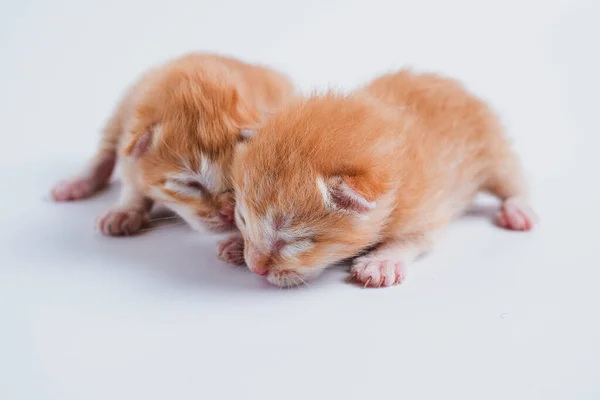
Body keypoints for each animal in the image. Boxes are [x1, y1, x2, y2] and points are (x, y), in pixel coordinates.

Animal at [51, 52, 296, 234]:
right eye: (191, 185)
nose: (228, 214)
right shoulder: (130, 129)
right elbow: (132, 177)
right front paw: (125, 211)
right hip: (121, 107)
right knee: (104, 151)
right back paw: (75, 184)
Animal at [221, 69, 540, 288]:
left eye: (296, 241)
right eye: (243, 219)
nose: (256, 269)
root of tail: (450, 83)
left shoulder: (428, 209)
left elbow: (412, 239)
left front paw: (382, 261)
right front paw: (236, 243)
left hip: (491, 143)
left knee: (513, 178)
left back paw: (519, 209)